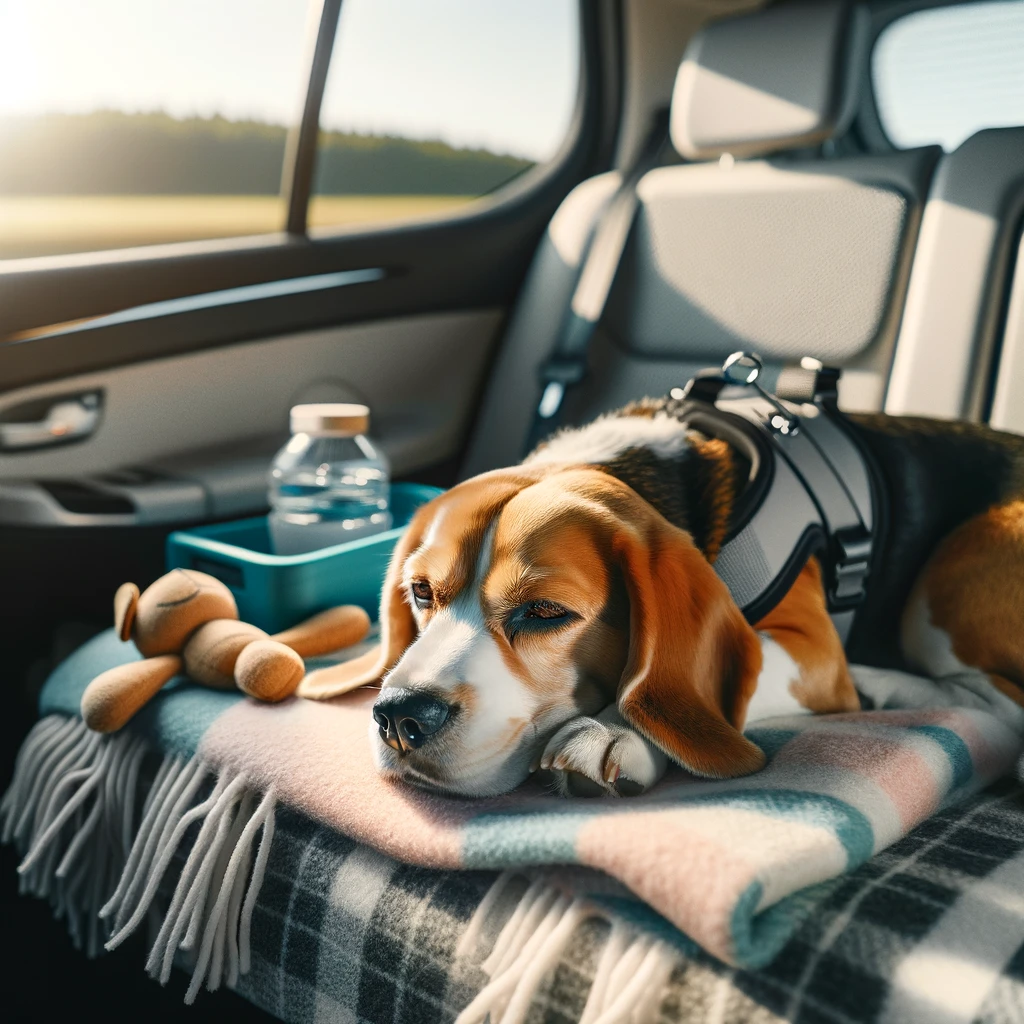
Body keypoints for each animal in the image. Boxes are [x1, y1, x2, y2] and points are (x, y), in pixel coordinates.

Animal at [299, 401, 1024, 798]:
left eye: (545, 613)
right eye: (420, 592)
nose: (398, 716)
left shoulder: (814, 652)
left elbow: (666, 683)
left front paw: (616, 733)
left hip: (957, 564)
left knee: (995, 701)